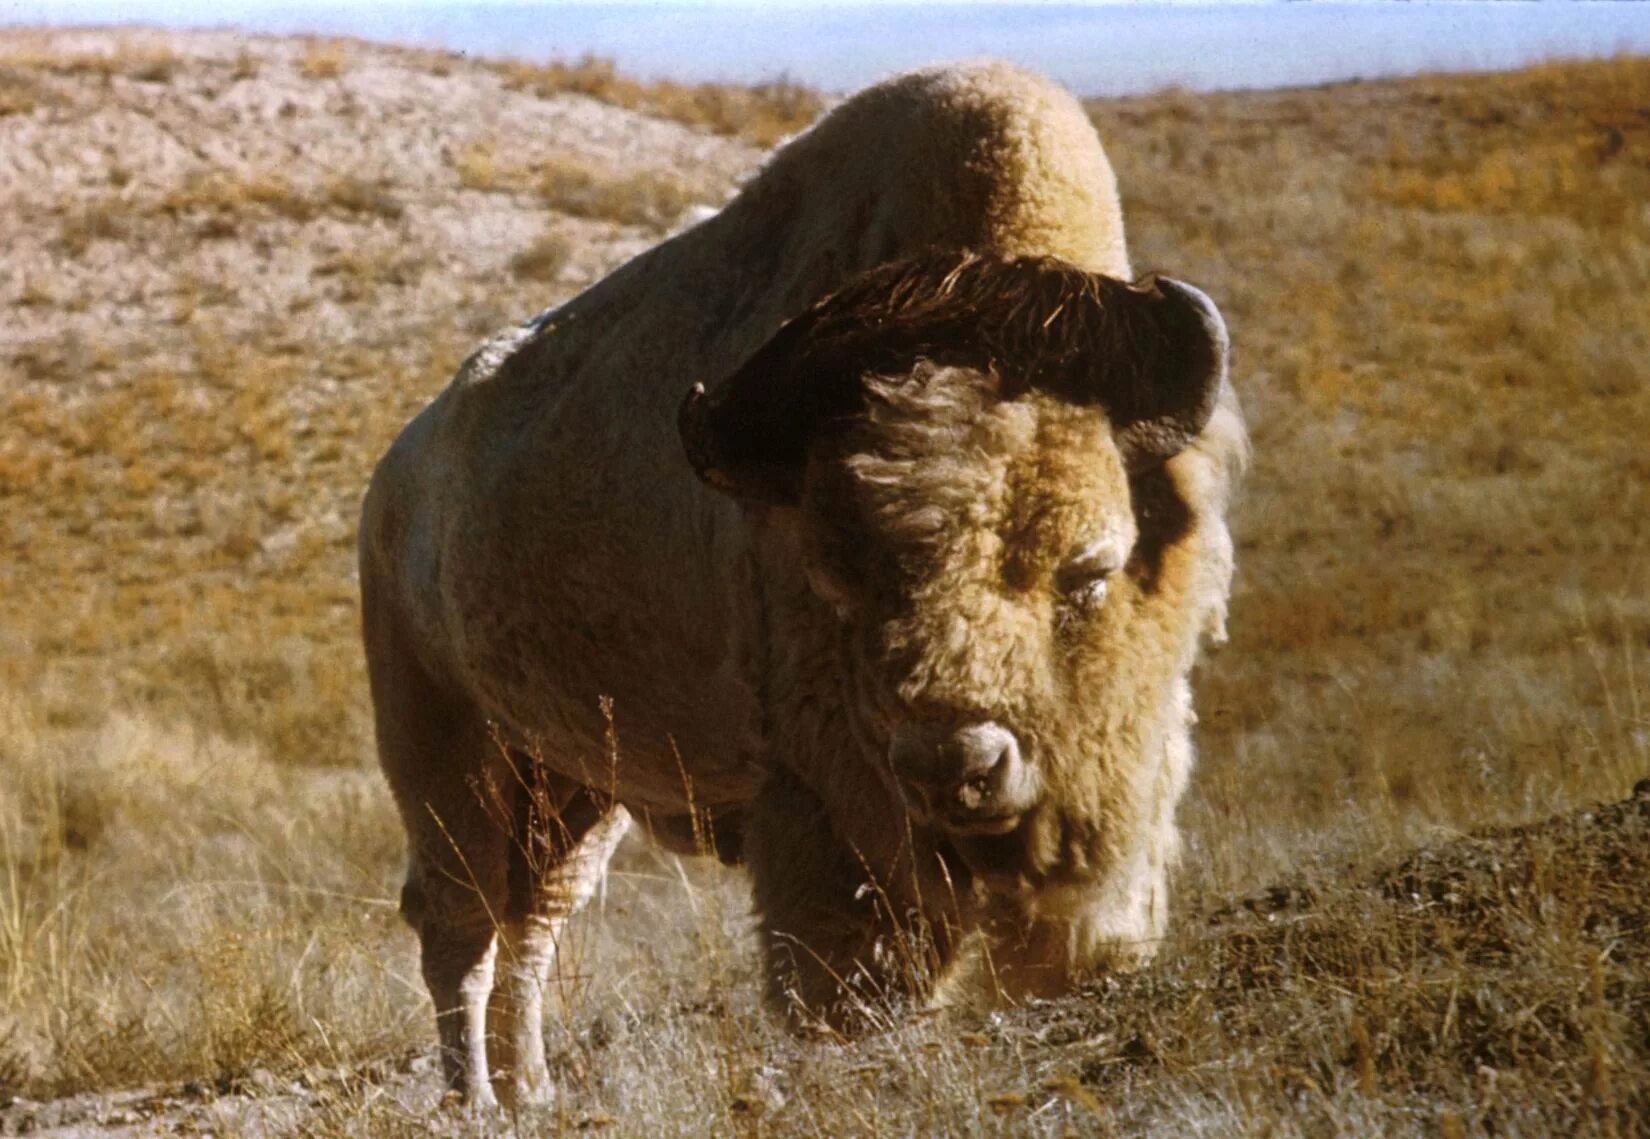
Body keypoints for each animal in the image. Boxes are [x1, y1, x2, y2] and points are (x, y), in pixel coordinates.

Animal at [358, 57, 1240, 1102]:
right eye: (838, 573)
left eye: (1090, 566)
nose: (955, 764)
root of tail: (391, 483)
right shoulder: (829, 811)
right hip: (444, 752)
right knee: (461, 923)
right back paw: (477, 1096)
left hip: (573, 785)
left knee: (530, 922)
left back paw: (533, 1088)